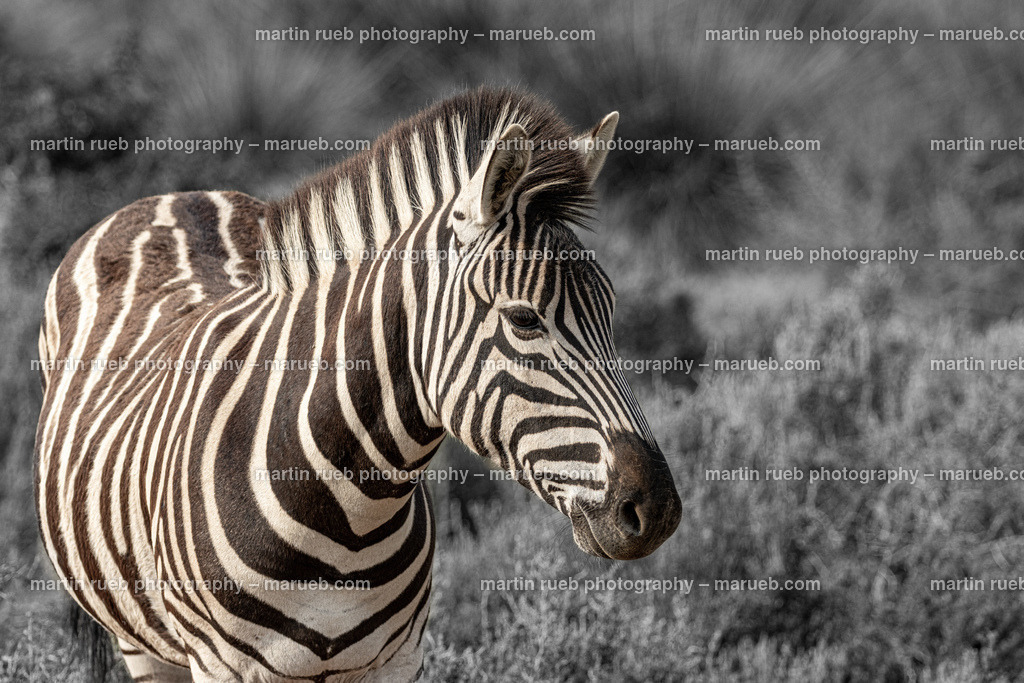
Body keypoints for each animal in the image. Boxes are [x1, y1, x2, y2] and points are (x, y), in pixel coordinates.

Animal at [34, 87, 683, 682]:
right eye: (524, 319)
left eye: (613, 314)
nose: (657, 510)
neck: (349, 511)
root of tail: (173, 196)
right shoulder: (222, 666)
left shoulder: (399, 659)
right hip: (140, 642)